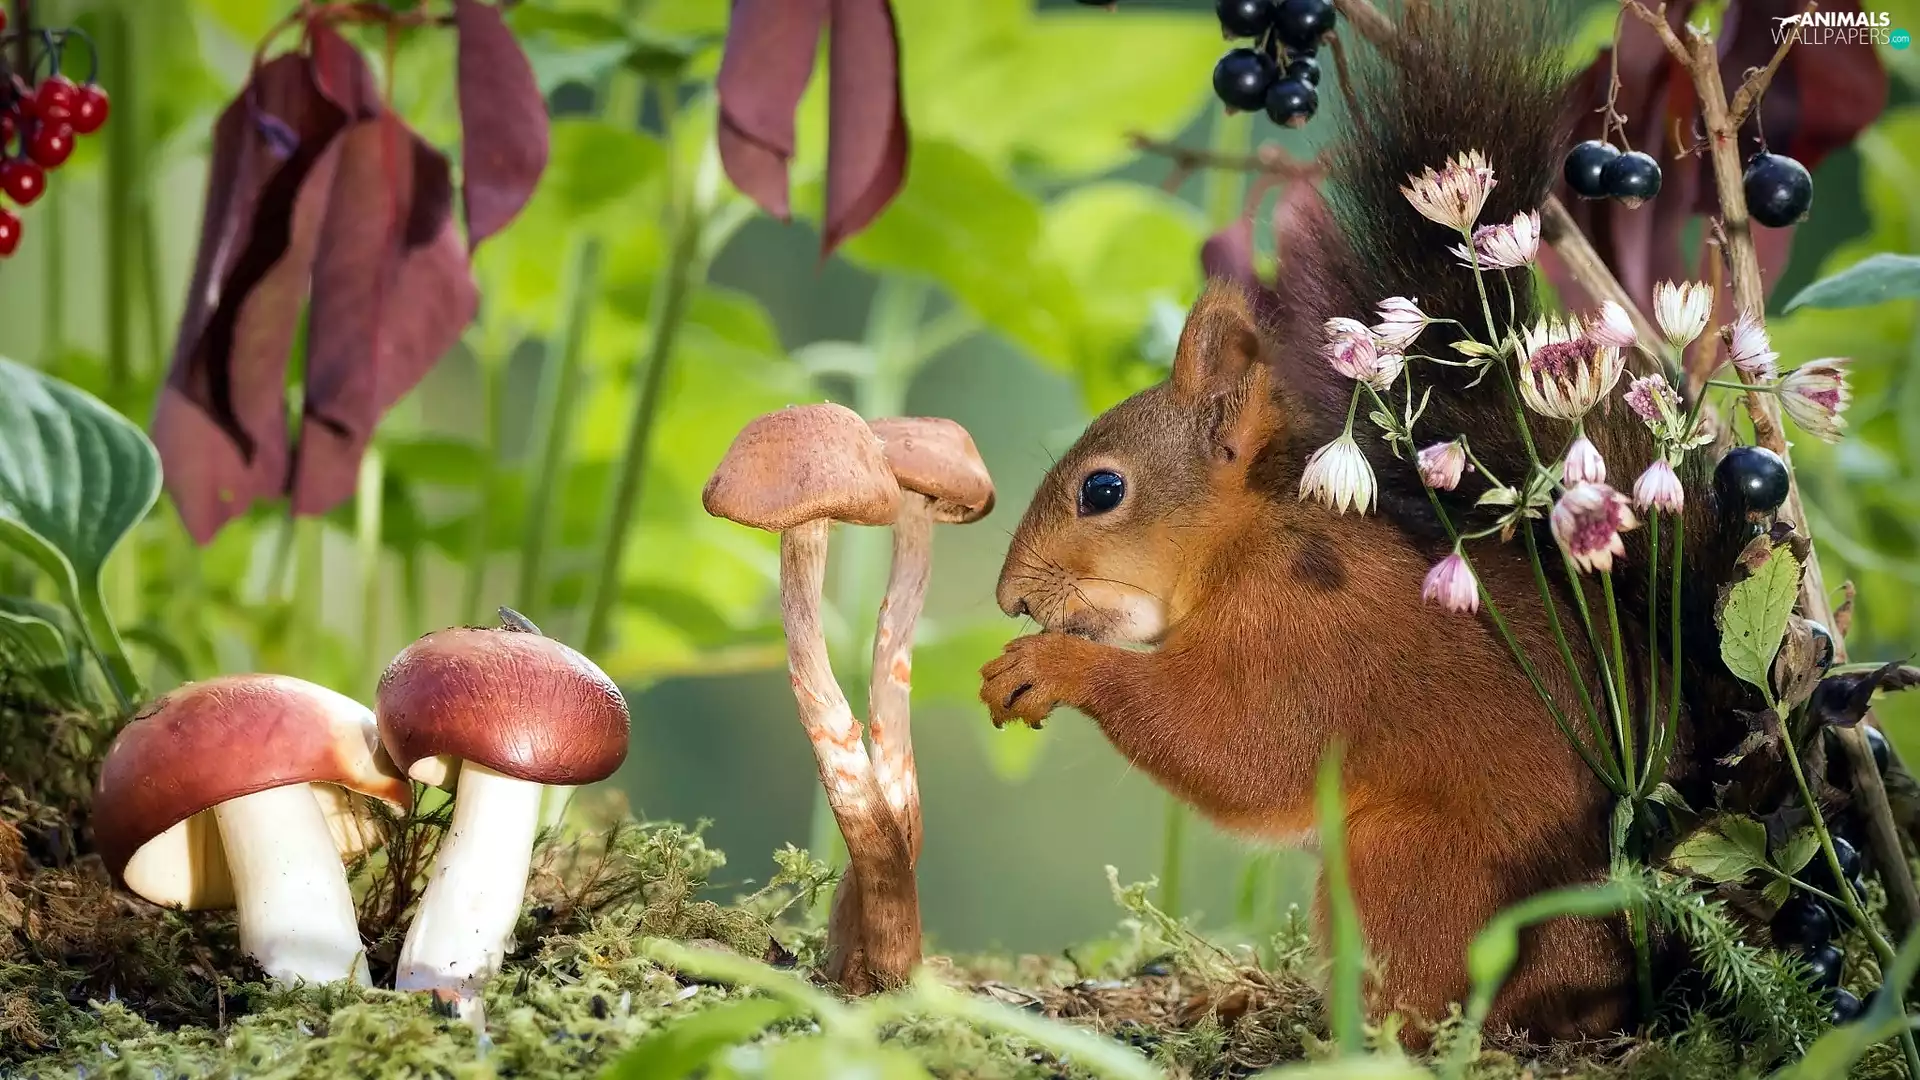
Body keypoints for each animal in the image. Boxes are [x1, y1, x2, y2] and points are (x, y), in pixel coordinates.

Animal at [980, 0, 1755, 1042]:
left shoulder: (1303, 634)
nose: (1011, 597)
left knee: (1429, 1006)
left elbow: (1233, 746)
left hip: (1406, 866)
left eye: (1102, 492)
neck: (1246, 545)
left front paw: (1053, 667)